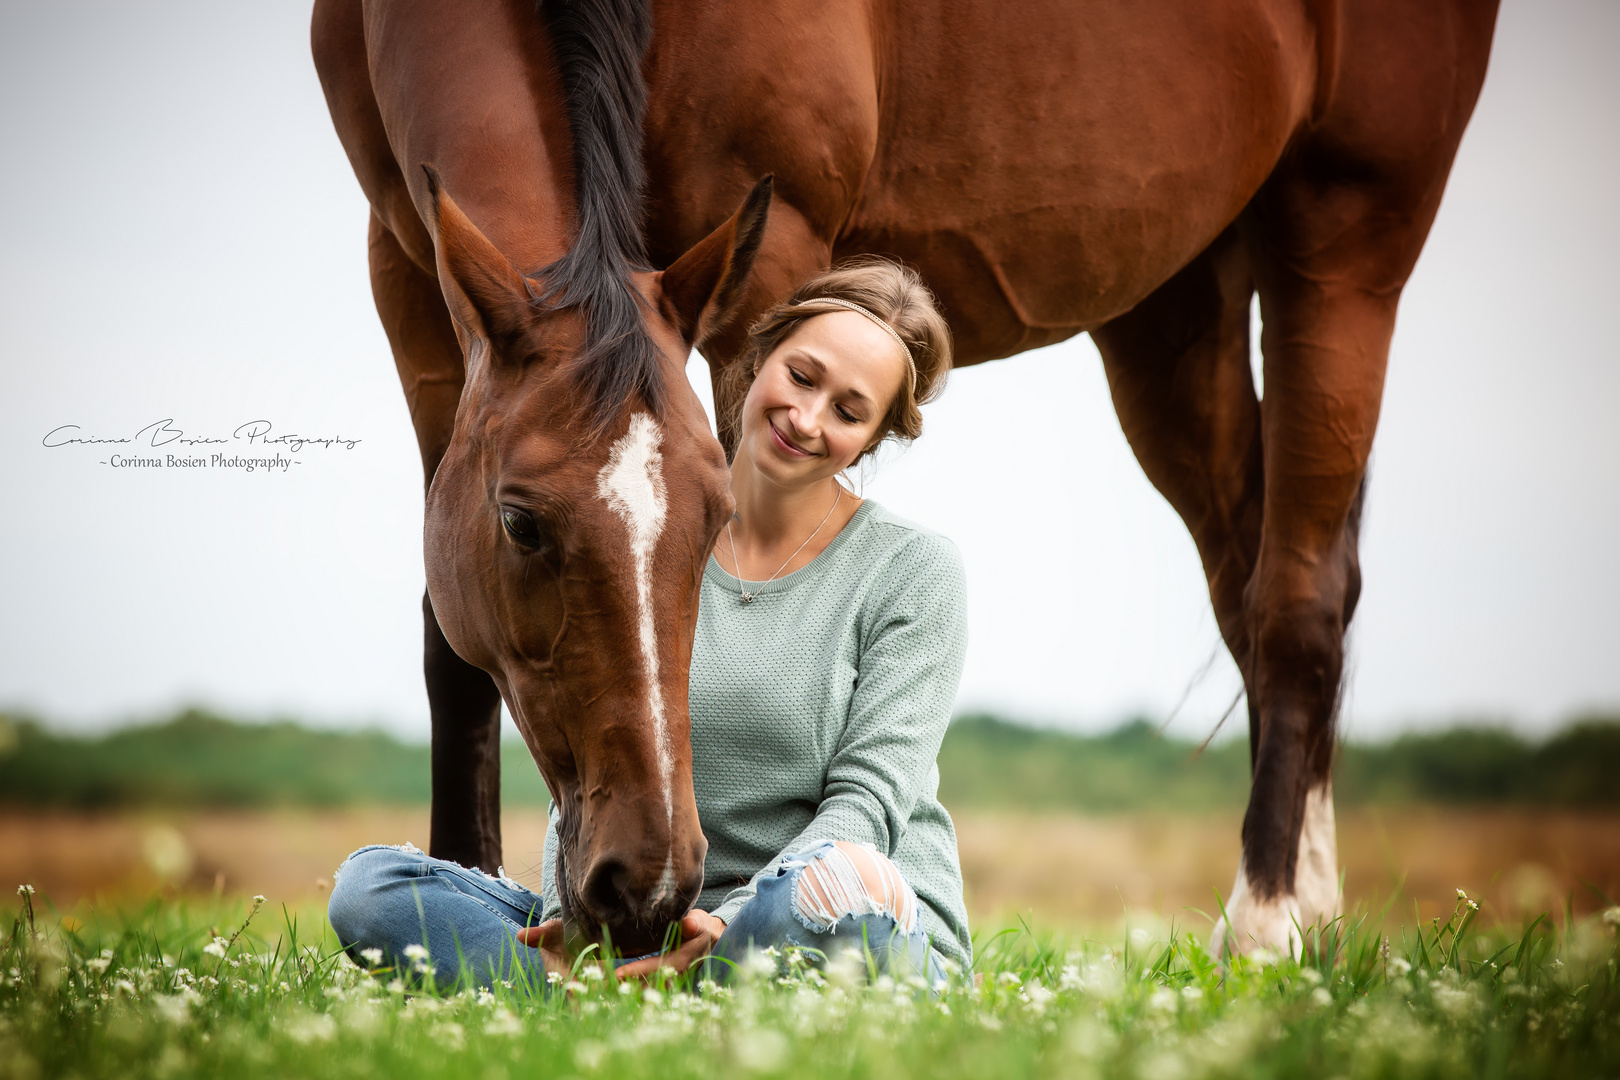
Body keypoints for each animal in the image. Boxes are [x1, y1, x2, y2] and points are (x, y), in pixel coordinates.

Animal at [309, 0, 1496, 952]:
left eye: (715, 516)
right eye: (519, 524)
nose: (641, 886)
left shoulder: (779, 247)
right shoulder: (404, 262)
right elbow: (450, 642)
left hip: (1341, 247)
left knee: (1299, 598)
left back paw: (1269, 926)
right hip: (1175, 306)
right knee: (1250, 585)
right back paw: (1316, 913)